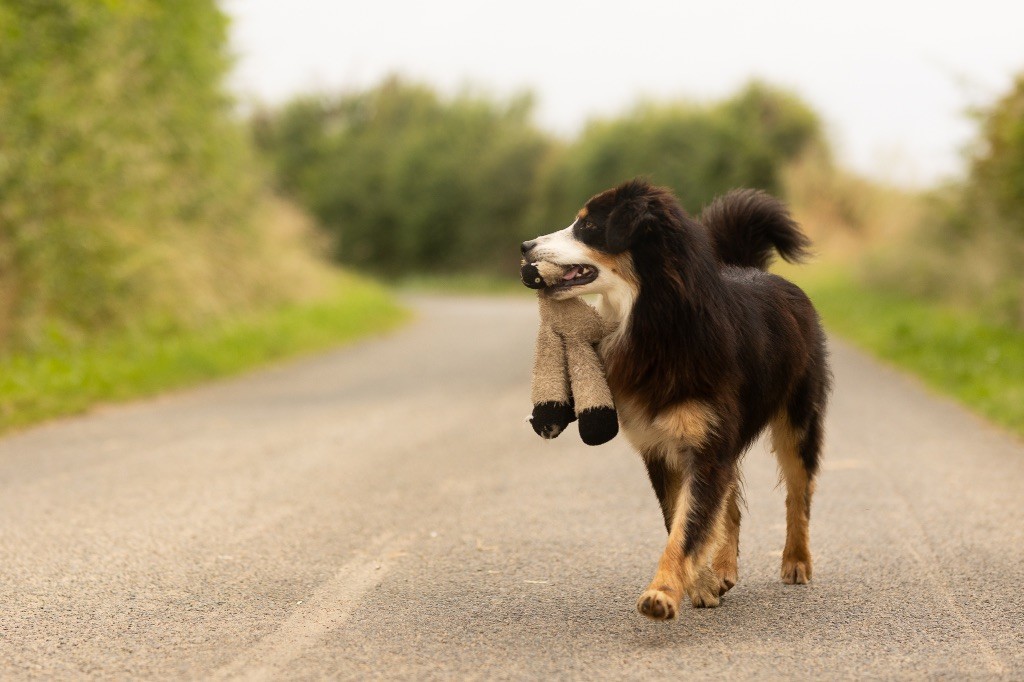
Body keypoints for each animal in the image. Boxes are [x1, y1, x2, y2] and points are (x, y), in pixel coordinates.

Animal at [520, 178, 831, 618]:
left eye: (588, 226)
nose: (525, 246)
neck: (658, 321)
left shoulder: (705, 446)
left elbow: (688, 527)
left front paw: (663, 592)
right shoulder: (664, 447)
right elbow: (681, 520)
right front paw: (700, 584)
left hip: (798, 421)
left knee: (798, 493)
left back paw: (796, 560)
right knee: (731, 506)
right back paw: (723, 569)